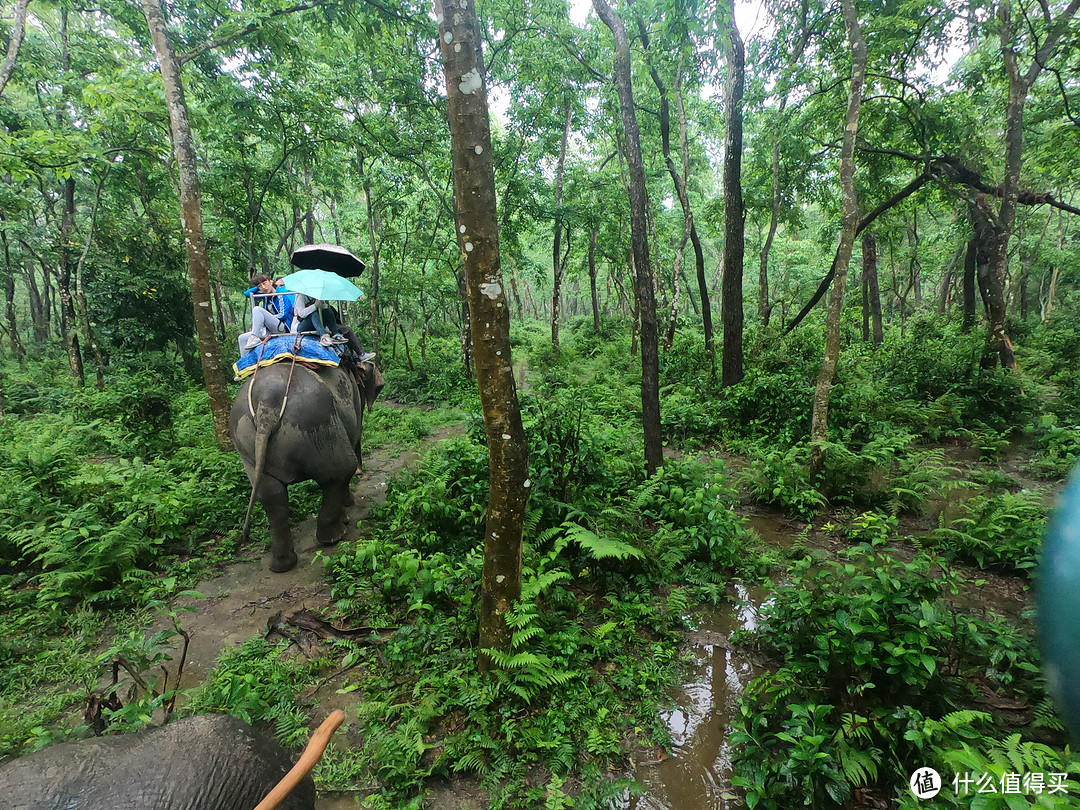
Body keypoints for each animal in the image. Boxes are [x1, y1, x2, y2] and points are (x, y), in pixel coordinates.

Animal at [227, 365, 380, 574]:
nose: (361, 471)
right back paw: (334, 537)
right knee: (340, 471)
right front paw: (348, 507)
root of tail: (267, 402)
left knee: (270, 493)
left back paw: (282, 565)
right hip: (317, 423)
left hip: (245, 441)